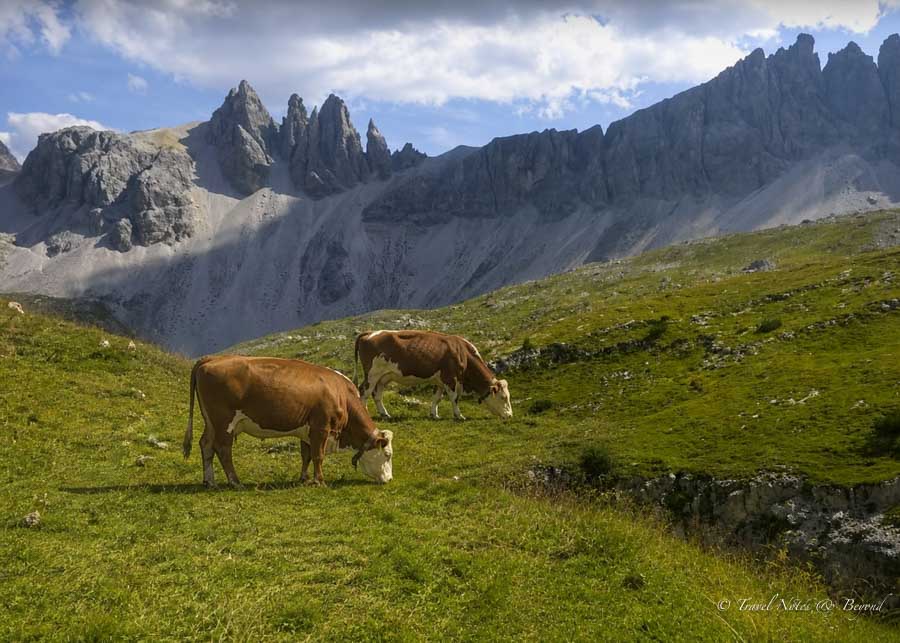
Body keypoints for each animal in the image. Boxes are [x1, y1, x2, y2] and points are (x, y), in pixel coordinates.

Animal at [182, 355, 393, 487]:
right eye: (387, 455)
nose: (390, 479)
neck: (341, 394)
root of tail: (211, 358)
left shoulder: (307, 429)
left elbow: (306, 455)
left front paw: (304, 478)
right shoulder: (321, 427)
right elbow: (318, 455)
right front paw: (320, 481)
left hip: (211, 421)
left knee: (206, 444)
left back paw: (209, 481)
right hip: (224, 421)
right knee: (223, 449)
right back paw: (235, 481)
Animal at [354, 330, 512, 421]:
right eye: (503, 397)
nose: (510, 415)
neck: (463, 353)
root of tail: (369, 333)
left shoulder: (441, 381)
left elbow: (437, 398)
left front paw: (434, 415)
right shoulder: (450, 379)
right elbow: (455, 398)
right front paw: (459, 415)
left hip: (383, 376)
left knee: (377, 394)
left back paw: (385, 414)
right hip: (372, 373)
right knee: (364, 391)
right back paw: (365, 413)